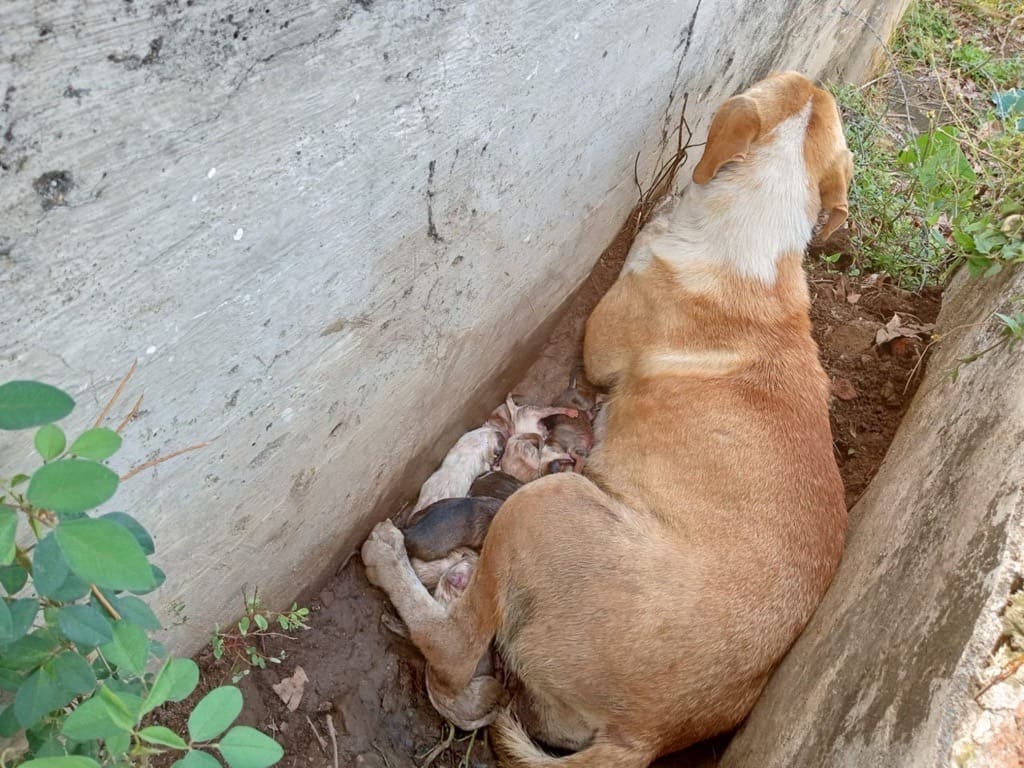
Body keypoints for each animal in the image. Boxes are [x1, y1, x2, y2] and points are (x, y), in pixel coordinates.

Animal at [364, 70, 851, 765]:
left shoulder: (599, 343)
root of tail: (646, 734)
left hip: (542, 507)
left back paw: (392, 561)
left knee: (455, 651)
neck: (758, 232)